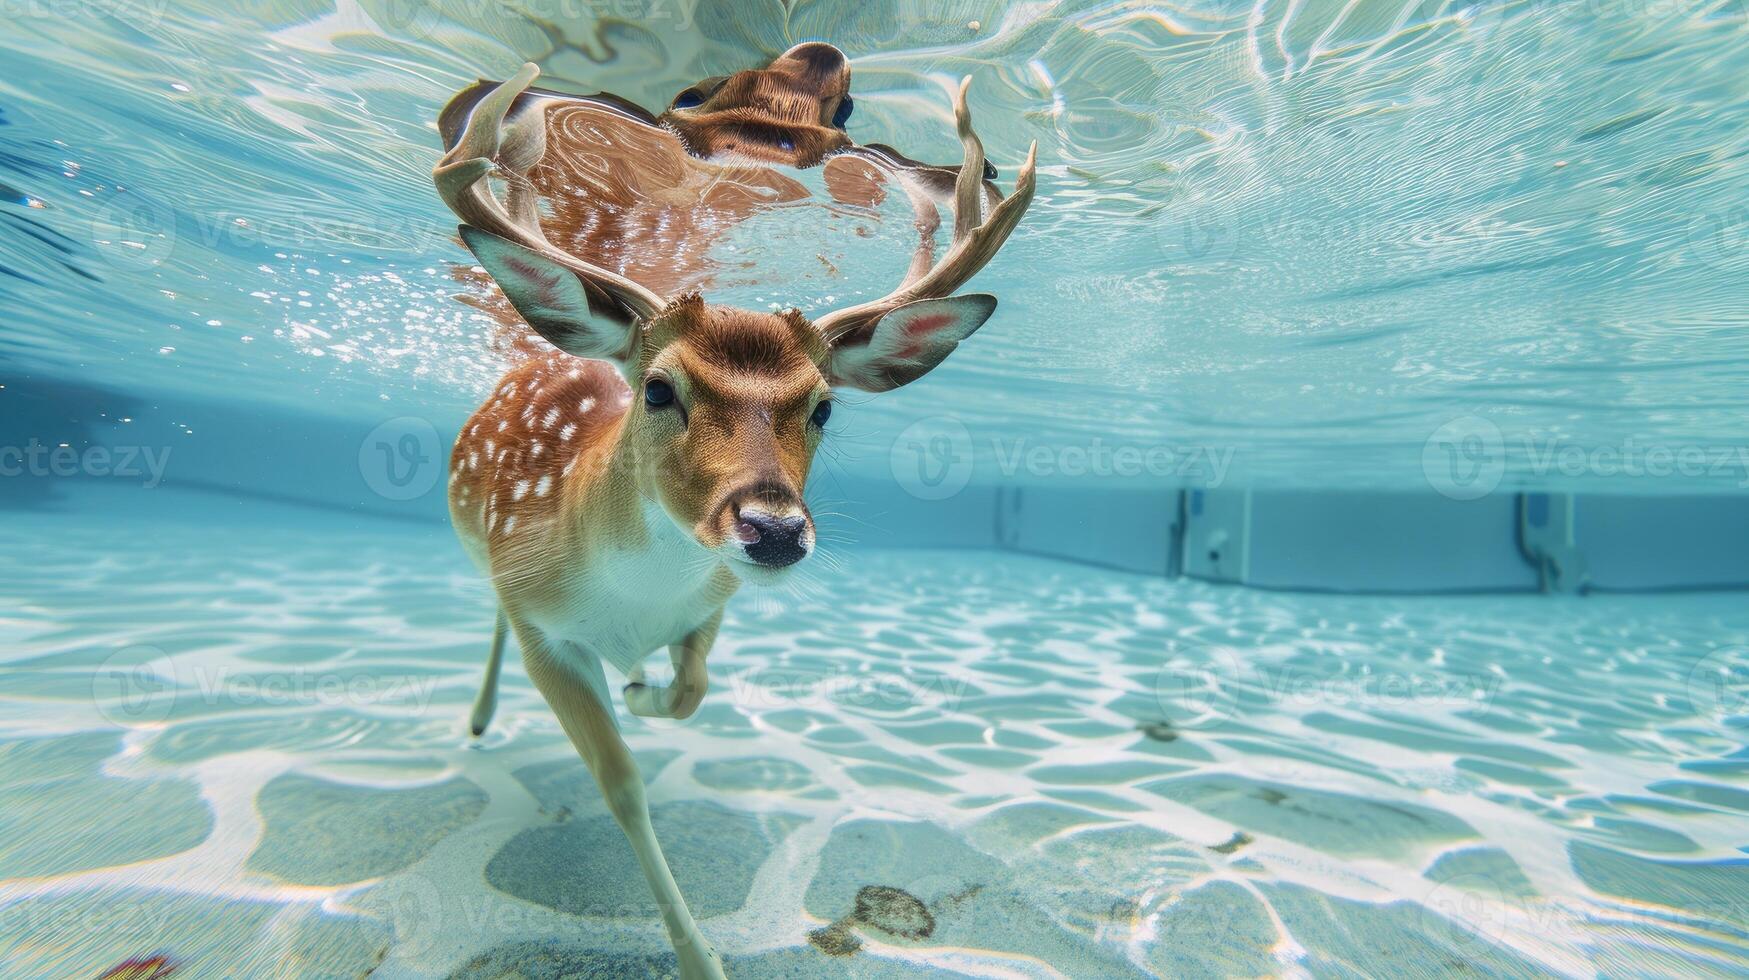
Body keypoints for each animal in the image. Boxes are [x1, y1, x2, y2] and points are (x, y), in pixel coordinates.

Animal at [437, 63, 1035, 980]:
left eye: (823, 406)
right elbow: (619, 781)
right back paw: (476, 717)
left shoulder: (711, 603)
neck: (629, 599)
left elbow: (693, 692)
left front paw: (645, 687)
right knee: (493, 616)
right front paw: (699, 959)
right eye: (658, 387)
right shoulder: (544, 623)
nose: (774, 529)